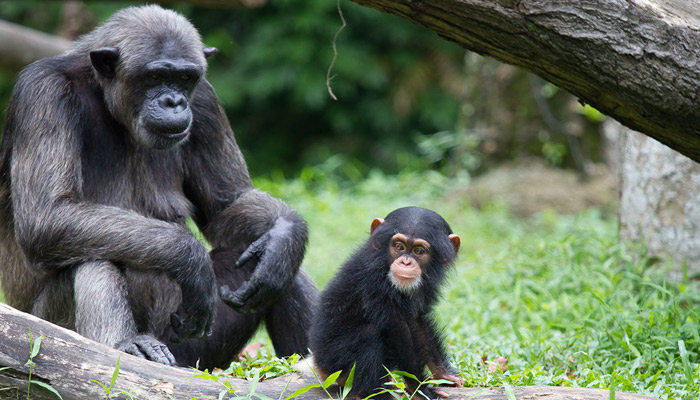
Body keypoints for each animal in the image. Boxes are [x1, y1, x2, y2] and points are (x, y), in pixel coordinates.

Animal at [0, 5, 316, 368]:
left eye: (185, 78)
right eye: (154, 77)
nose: (173, 101)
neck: (106, 98)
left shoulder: (205, 102)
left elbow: (227, 204)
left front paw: (286, 237)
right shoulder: (43, 95)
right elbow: (48, 215)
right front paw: (191, 259)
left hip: (195, 354)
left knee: (275, 267)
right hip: (48, 329)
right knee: (91, 258)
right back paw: (127, 344)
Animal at [309, 207, 465, 400]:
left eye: (419, 251)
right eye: (399, 246)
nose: (406, 262)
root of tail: (320, 369)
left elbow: (417, 322)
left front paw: (444, 374)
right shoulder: (375, 281)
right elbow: (398, 330)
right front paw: (419, 389)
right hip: (335, 364)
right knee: (369, 334)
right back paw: (376, 393)